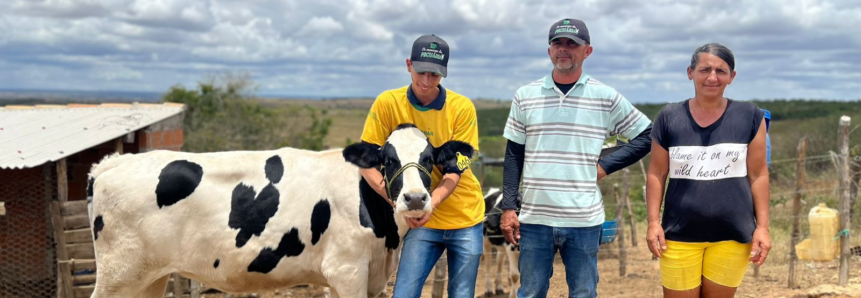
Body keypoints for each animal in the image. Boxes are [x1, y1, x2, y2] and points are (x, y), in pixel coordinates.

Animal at [85, 124, 470, 298]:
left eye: (429, 159)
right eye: (387, 159)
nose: (415, 199)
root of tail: (112, 163)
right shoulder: (347, 270)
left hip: (148, 277)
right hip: (119, 273)